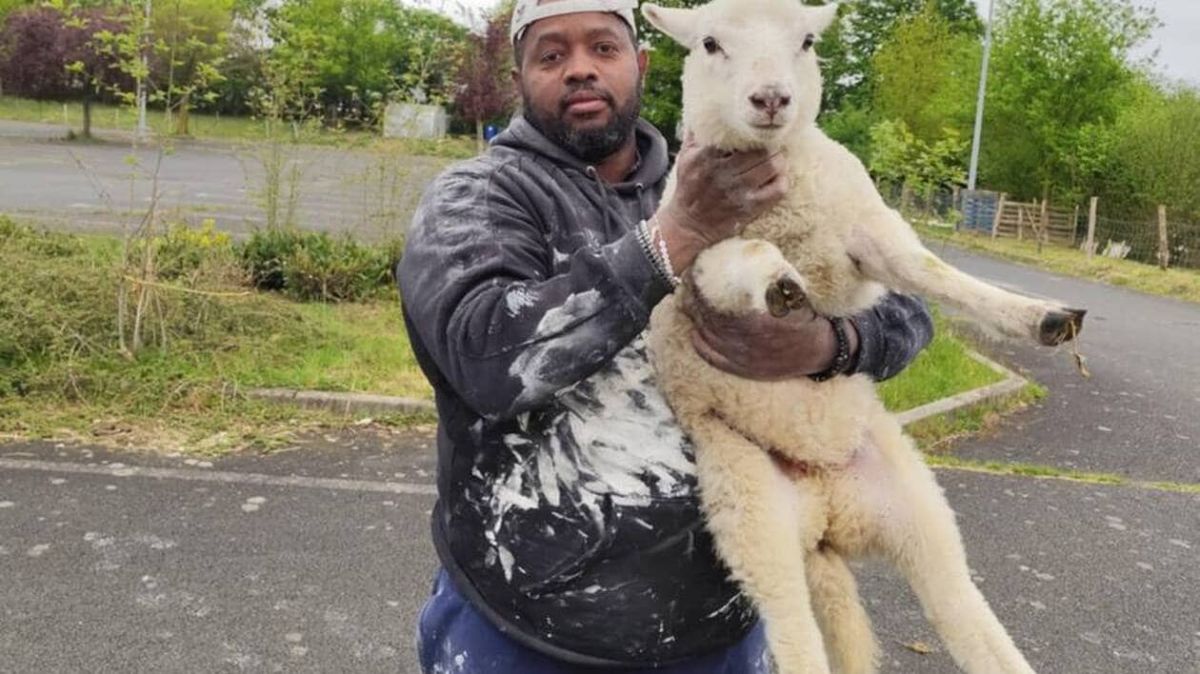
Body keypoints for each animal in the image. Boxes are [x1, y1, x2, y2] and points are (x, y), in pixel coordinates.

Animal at [641, 1, 1085, 673]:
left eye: (806, 41)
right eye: (710, 43)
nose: (771, 99)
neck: (783, 192)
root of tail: (827, 512)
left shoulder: (866, 229)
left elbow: (931, 271)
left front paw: (1040, 317)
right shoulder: (700, 257)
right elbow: (748, 256)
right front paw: (781, 285)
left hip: (914, 507)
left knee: (961, 606)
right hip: (753, 507)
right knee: (796, 633)